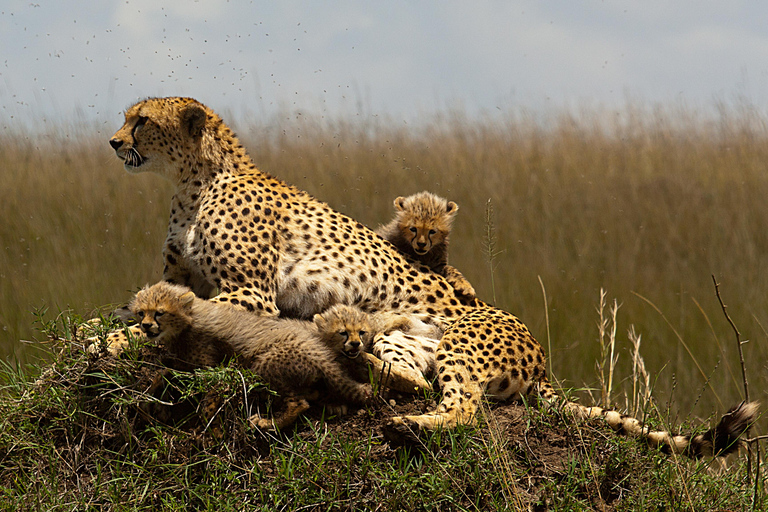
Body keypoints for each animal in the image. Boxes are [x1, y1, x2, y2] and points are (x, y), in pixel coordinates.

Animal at [108, 97, 756, 456]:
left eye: (140, 121)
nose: (113, 142)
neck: (192, 181)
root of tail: (543, 363)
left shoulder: (249, 292)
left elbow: (145, 321)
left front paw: (110, 340)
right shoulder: (190, 284)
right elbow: (145, 305)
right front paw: (118, 333)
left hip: (459, 340)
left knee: (459, 405)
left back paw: (405, 424)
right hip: (407, 339)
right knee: (409, 378)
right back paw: (358, 367)